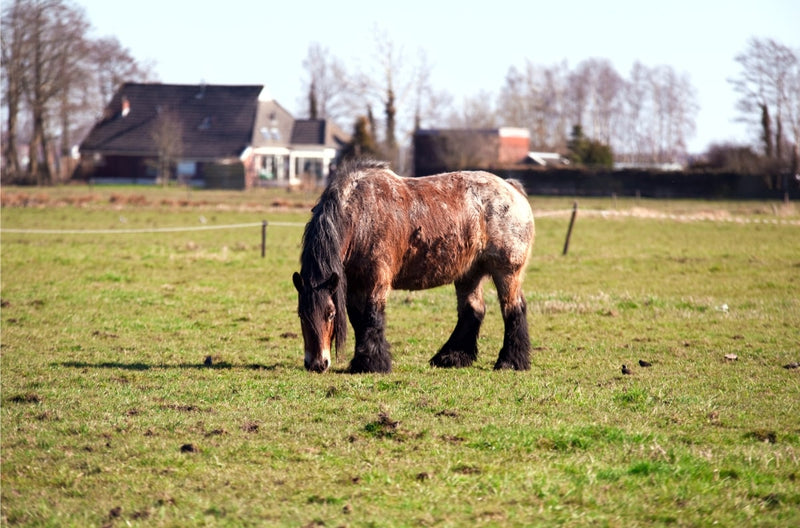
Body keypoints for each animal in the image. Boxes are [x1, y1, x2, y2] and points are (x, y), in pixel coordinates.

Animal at [292, 159, 535, 373]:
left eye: (331, 314)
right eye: (301, 315)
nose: (317, 363)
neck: (361, 216)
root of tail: (512, 189)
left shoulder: (377, 281)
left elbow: (372, 317)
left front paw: (373, 364)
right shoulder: (353, 283)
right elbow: (358, 319)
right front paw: (362, 362)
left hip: (507, 272)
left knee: (513, 309)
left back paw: (510, 361)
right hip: (469, 274)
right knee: (473, 311)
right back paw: (452, 357)